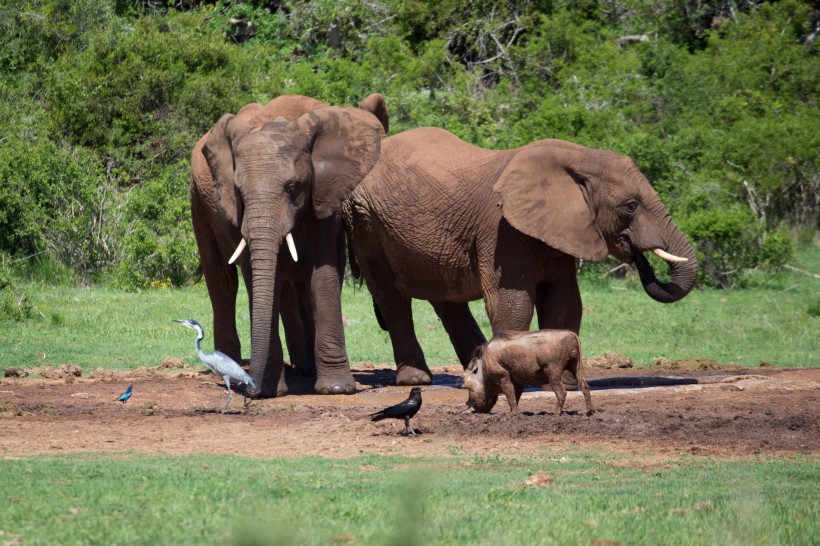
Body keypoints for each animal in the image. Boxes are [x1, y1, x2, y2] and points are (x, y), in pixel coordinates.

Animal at [189, 93, 388, 396]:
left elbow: (322, 274)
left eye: (293, 187)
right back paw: (227, 364)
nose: (252, 389)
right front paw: (270, 390)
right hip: (199, 202)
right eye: (239, 192)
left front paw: (336, 389)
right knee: (222, 280)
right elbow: (258, 277)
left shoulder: (324, 196)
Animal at [342, 127, 696, 382]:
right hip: (366, 225)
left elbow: (565, 303)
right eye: (631, 206)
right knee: (392, 299)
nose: (638, 255)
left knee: (446, 300)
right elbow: (514, 303)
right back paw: (416, 380)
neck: (578, 158)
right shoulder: (502, 231)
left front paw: (562, 381)